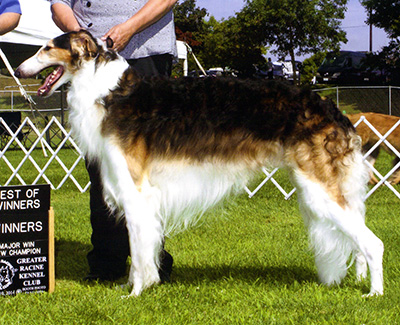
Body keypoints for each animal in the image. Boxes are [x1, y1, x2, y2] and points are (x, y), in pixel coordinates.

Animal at [16, 30, 384, 296]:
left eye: (46, 48)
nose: (18, 70)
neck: (108, 91)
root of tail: (334, 110)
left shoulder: (137, 193)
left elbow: (139, 252)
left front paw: (135, 293)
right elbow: (139, 254)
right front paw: (133, 285)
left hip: (320, 192)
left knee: (373, 244)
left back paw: (374, 294)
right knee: (358, 242)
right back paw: (359, 281)